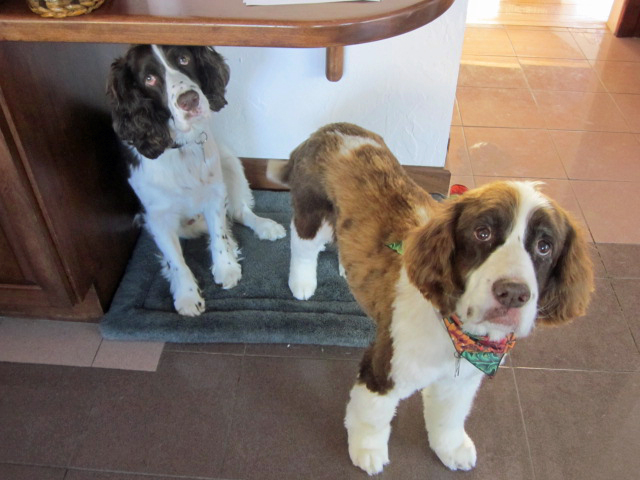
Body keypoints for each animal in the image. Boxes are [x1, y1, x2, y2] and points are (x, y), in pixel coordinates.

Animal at [108, 44, 284, 316]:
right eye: (149, 79)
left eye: (183, 59)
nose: (189, 100)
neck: (181, 146)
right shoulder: (157, 217)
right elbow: (176, 260)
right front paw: (187, 295)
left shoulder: (214, 193)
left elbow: (219, 235)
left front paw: (225, 267)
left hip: (230, 161)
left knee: (239, 212)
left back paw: (266, 226)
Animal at [266, 122, 596, 474]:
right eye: (482, 233)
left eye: (544, 247)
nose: (513, 293)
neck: (456, 332)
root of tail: (330, 129)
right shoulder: (383, 369)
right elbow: (372, 415)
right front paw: (367, 449)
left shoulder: (462, 380)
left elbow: (449, 417)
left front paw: (450, 448)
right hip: (311, 209)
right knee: (304, 245)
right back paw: (302, 281)